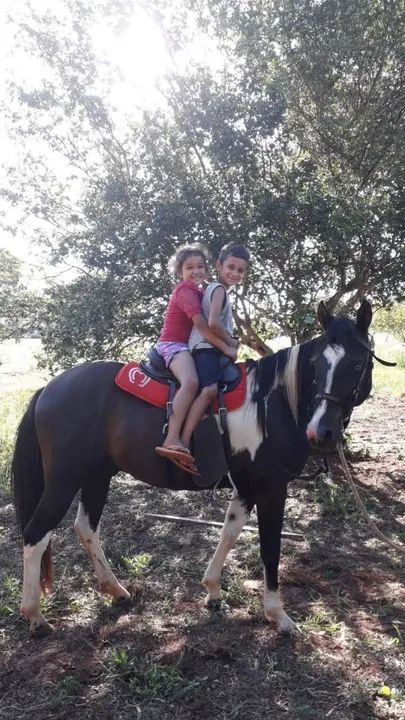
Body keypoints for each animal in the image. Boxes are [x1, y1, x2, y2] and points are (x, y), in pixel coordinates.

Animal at [11, 299, 375, 638]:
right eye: (316, 364)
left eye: (357, 363)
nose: (321, 432)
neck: (272, 403)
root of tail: (48, 389)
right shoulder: (272, 488)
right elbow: (270, 549)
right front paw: (278, 616)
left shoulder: (247, 487)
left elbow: (229, 533)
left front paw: (212, 591)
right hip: (63, 481)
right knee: (35, 534)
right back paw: (35, 617)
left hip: (97, 476)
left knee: (86, 528)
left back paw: (116, 590)